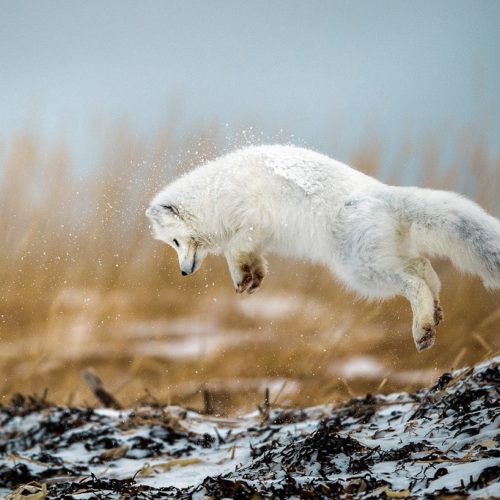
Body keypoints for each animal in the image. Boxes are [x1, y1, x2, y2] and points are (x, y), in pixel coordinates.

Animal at [146, 145, 500, 352]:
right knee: (426, 270)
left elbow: (235, 247)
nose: (183, 272)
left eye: (175, 241)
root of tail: (382, 193)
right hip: (383, 257)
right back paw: (436, 314)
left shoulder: (252, 220)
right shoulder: (258, 236)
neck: (213, 196)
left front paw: (243, 276)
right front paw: (250, 278)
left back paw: (422, 330)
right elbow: (248, 257)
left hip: (362, 271)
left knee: (414, 283)